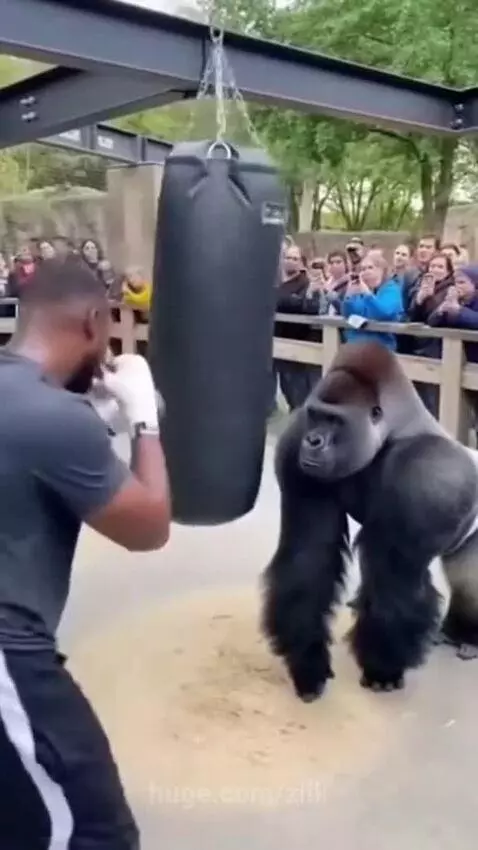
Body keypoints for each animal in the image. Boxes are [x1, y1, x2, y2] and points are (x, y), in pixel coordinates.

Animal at [262, 340, 478, 701]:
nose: (313, 440)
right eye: (316, 415)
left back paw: (467, 636)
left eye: (335, 421)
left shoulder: (429, 470)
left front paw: (382, 668)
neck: (392, 432)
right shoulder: (294, 447)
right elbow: (309, 556)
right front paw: (307, 661)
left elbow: (394, 580)